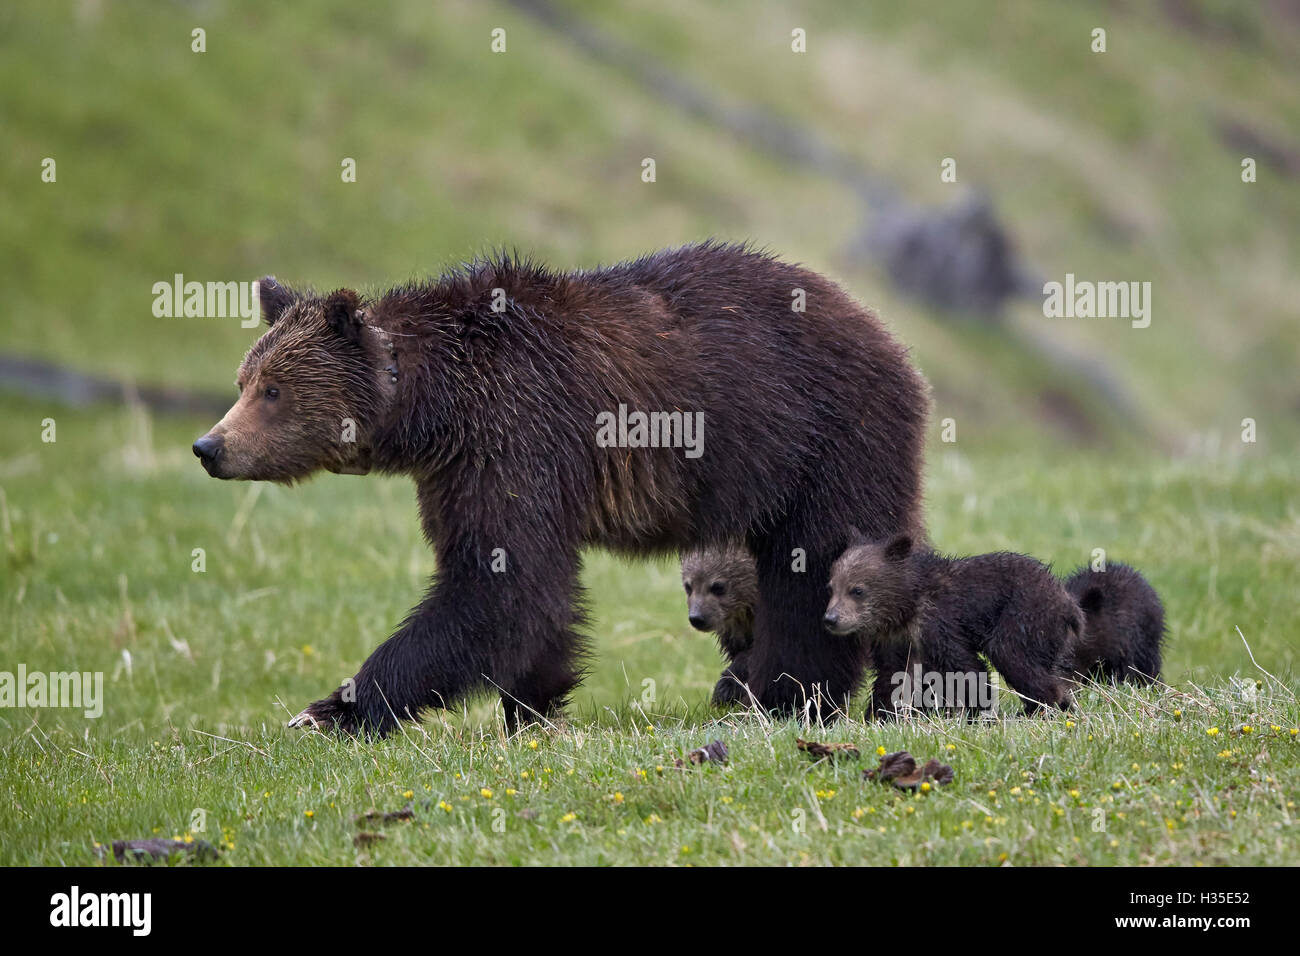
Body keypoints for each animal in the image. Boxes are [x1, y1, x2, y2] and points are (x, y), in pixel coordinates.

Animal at [189, 244, 925, 733]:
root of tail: (887, 333)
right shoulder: (458, 468)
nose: (210, 447)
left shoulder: (516, 430)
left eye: (273, 390)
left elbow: (498, 586)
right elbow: (526, 589)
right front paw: (534, 702)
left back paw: (788, 694)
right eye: (244, 380)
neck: (434, 407)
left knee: (812, 567)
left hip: (823, 436)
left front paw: (331, 709)